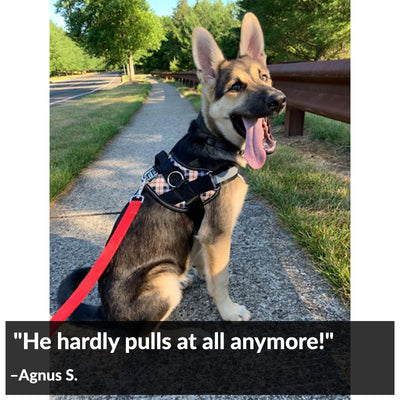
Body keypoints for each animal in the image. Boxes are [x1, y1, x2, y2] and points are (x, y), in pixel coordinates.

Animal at [57, 12, 286, 322]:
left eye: (264, 76)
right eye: (236, 86)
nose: (279, 99)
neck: (212, 139)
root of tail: (105, 311)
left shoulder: (202, 233)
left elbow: (203, 261)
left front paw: (201, 275)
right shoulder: (218, 234)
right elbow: (222, 278)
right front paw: (228, 310)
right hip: (162, 279)